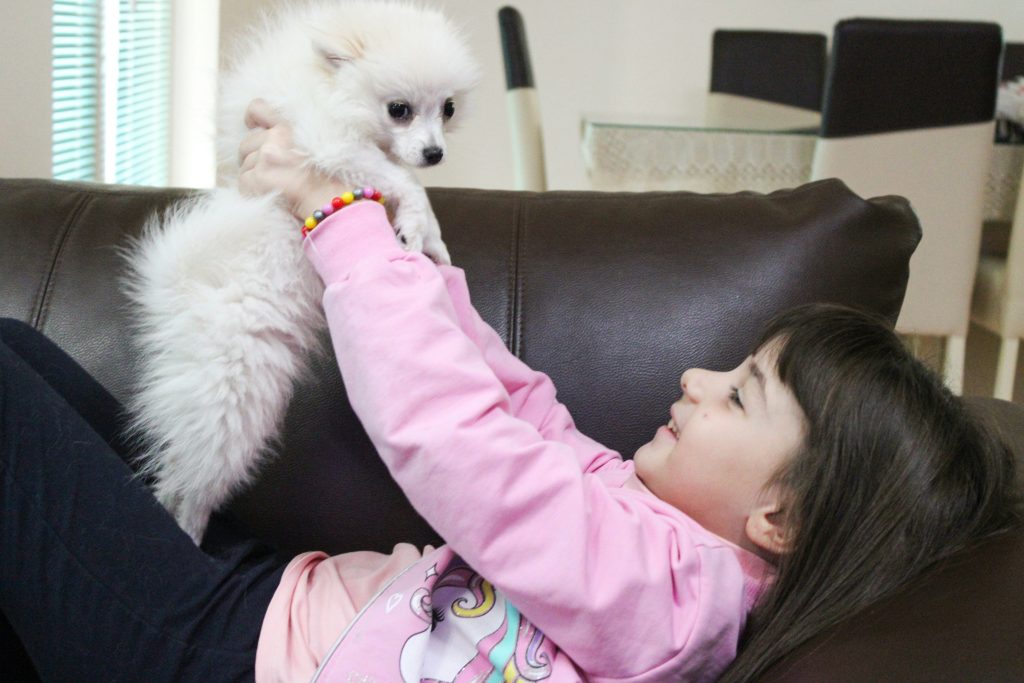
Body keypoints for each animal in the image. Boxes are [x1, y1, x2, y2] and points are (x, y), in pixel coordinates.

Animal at [122, 1, 479, 544]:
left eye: (448, 108)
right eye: (399, 109)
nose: (435, 153)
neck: (329, 88)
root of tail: (179, 288)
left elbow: (405, 182)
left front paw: (429, 240)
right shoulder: (328, 140)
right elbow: (403, 180)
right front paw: (421, 221)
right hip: (233, 394)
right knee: (188, 481)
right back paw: (187, 534)